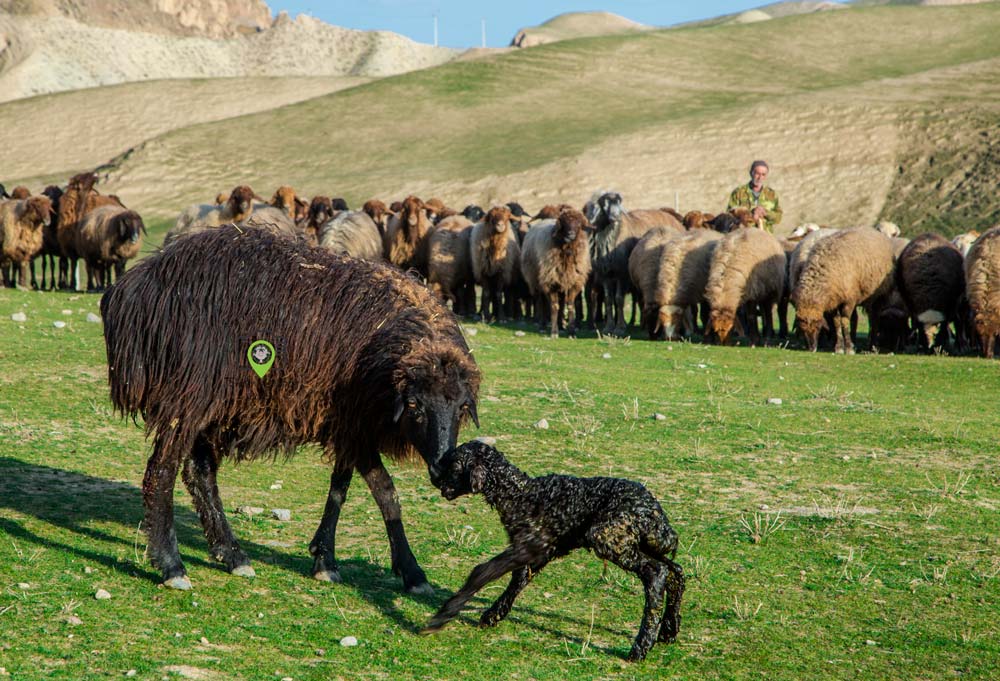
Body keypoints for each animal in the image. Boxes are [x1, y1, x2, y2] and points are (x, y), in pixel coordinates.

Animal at [99, 223, 482, 588]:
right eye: (414, 405)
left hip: (214, 406)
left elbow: (340, 488)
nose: (443, 468)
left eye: (463, 408)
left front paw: (325, 559)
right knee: (160, 472)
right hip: (186, 396)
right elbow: (386, 491)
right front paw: (411, 571)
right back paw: (171, 565)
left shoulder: (347, 423)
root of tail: (133, 286)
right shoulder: (355, 426)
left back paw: (233, 554)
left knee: (199, 473)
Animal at [422, 438, 688, 660]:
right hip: (641, 542)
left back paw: (641, 646)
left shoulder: (531, 546)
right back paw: (668, 630)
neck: (518, 494)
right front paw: (493, 614)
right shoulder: (537, 553)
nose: (434, 479)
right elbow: (517, 579)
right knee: (675, 571)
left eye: (454, 465)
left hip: (608, 536)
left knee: (657, 572)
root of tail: (654, 513)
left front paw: (442, 616)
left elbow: (483, 571)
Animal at [588, 191, 684, 334]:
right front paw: (608, 327)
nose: (616, 217)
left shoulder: (622, 273)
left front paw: (620, 328)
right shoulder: (605, 273)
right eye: (604, 203)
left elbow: (619, 299)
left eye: (619, 202)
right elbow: (608, 299)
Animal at [792, 228, 896, 356]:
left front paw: (849, 348)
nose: (812, 348)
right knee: (864, 318)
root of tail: (874, 230)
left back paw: (872, 346)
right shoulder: (833, 301)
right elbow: (836, 322)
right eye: (802, 329)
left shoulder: (849, 300)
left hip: (879, 295)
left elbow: (844, 321)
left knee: (875, 319)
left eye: (818, 327)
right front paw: (839, 347)